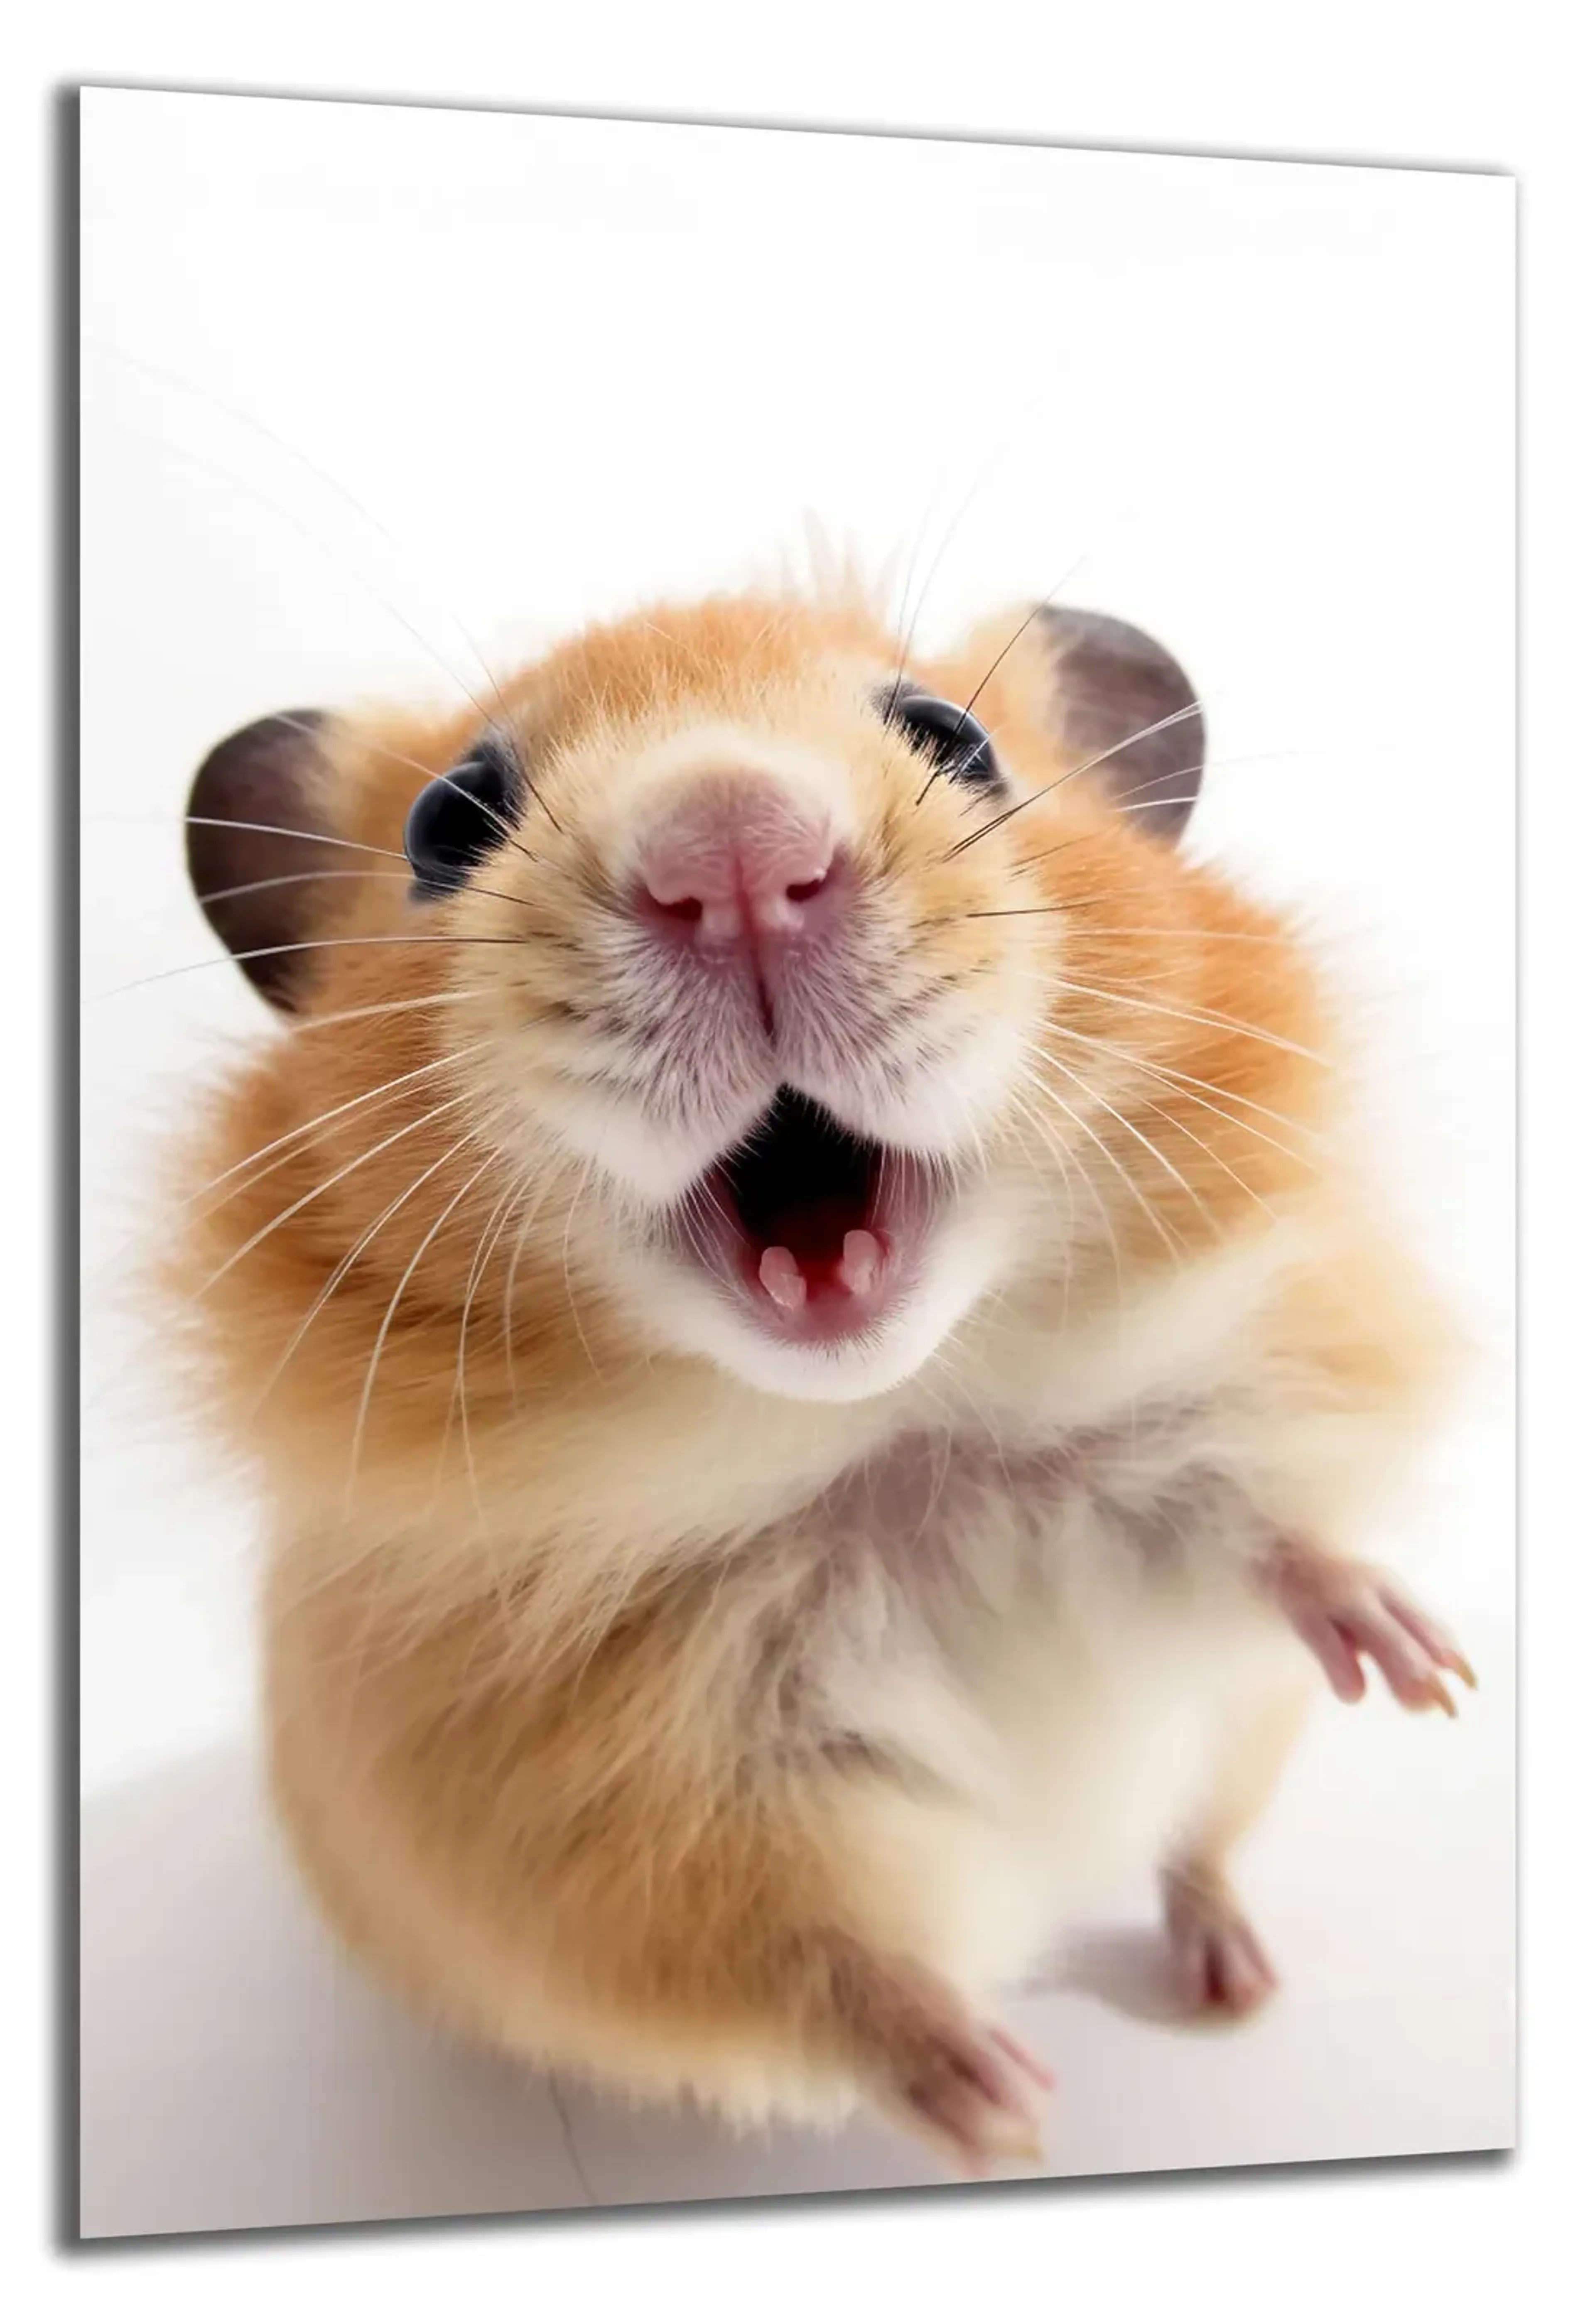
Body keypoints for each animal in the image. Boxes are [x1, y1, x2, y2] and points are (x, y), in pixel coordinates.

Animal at [161, 575, 1472, 2177]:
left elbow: (1276, 1536)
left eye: (953, 736)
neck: (889, 1433)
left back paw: (1235, 1979)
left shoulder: (1197, 1446)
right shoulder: (635, 1828)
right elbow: (828, 1963)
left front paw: (1430, 1674)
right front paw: (1007, 2110)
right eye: (446, 824)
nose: (730, 846)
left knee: (1195, 1853)